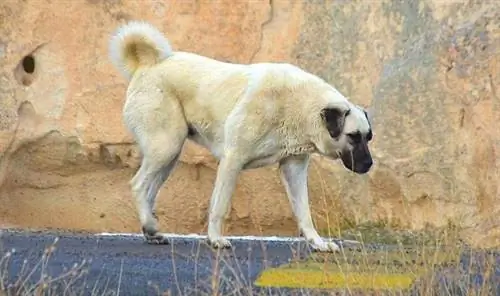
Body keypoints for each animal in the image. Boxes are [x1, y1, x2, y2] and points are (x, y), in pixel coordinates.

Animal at [108, 20, 376, 252]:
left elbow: (304, 212)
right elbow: (220, 205)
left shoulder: (294, 168)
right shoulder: (232, 160)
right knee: (138, 185)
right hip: (166, 146)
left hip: (168, 156)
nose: (369, 165)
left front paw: (318, 243)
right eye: (353, 136)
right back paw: (150, 226)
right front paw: (215, 239)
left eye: (368, 137)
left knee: (149, 190)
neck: (300, 105)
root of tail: (148, 64)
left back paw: (151, 230)